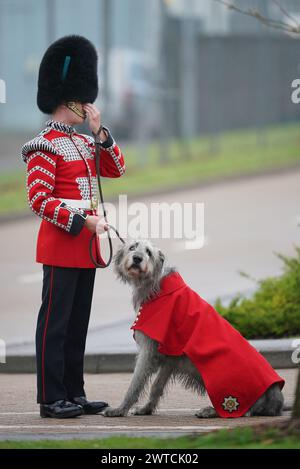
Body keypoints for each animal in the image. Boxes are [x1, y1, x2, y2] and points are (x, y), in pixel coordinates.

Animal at [101, 239, 284, 418]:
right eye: (132, 247)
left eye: (148, 252)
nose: (137, 258)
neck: (157, 288)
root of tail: (276, 398)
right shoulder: (170, 355)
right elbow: (157, 385)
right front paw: (146, 408)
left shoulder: (149, 349)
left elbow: (136, 382)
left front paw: (119, 409)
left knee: (242, 411)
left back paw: (211, 411)